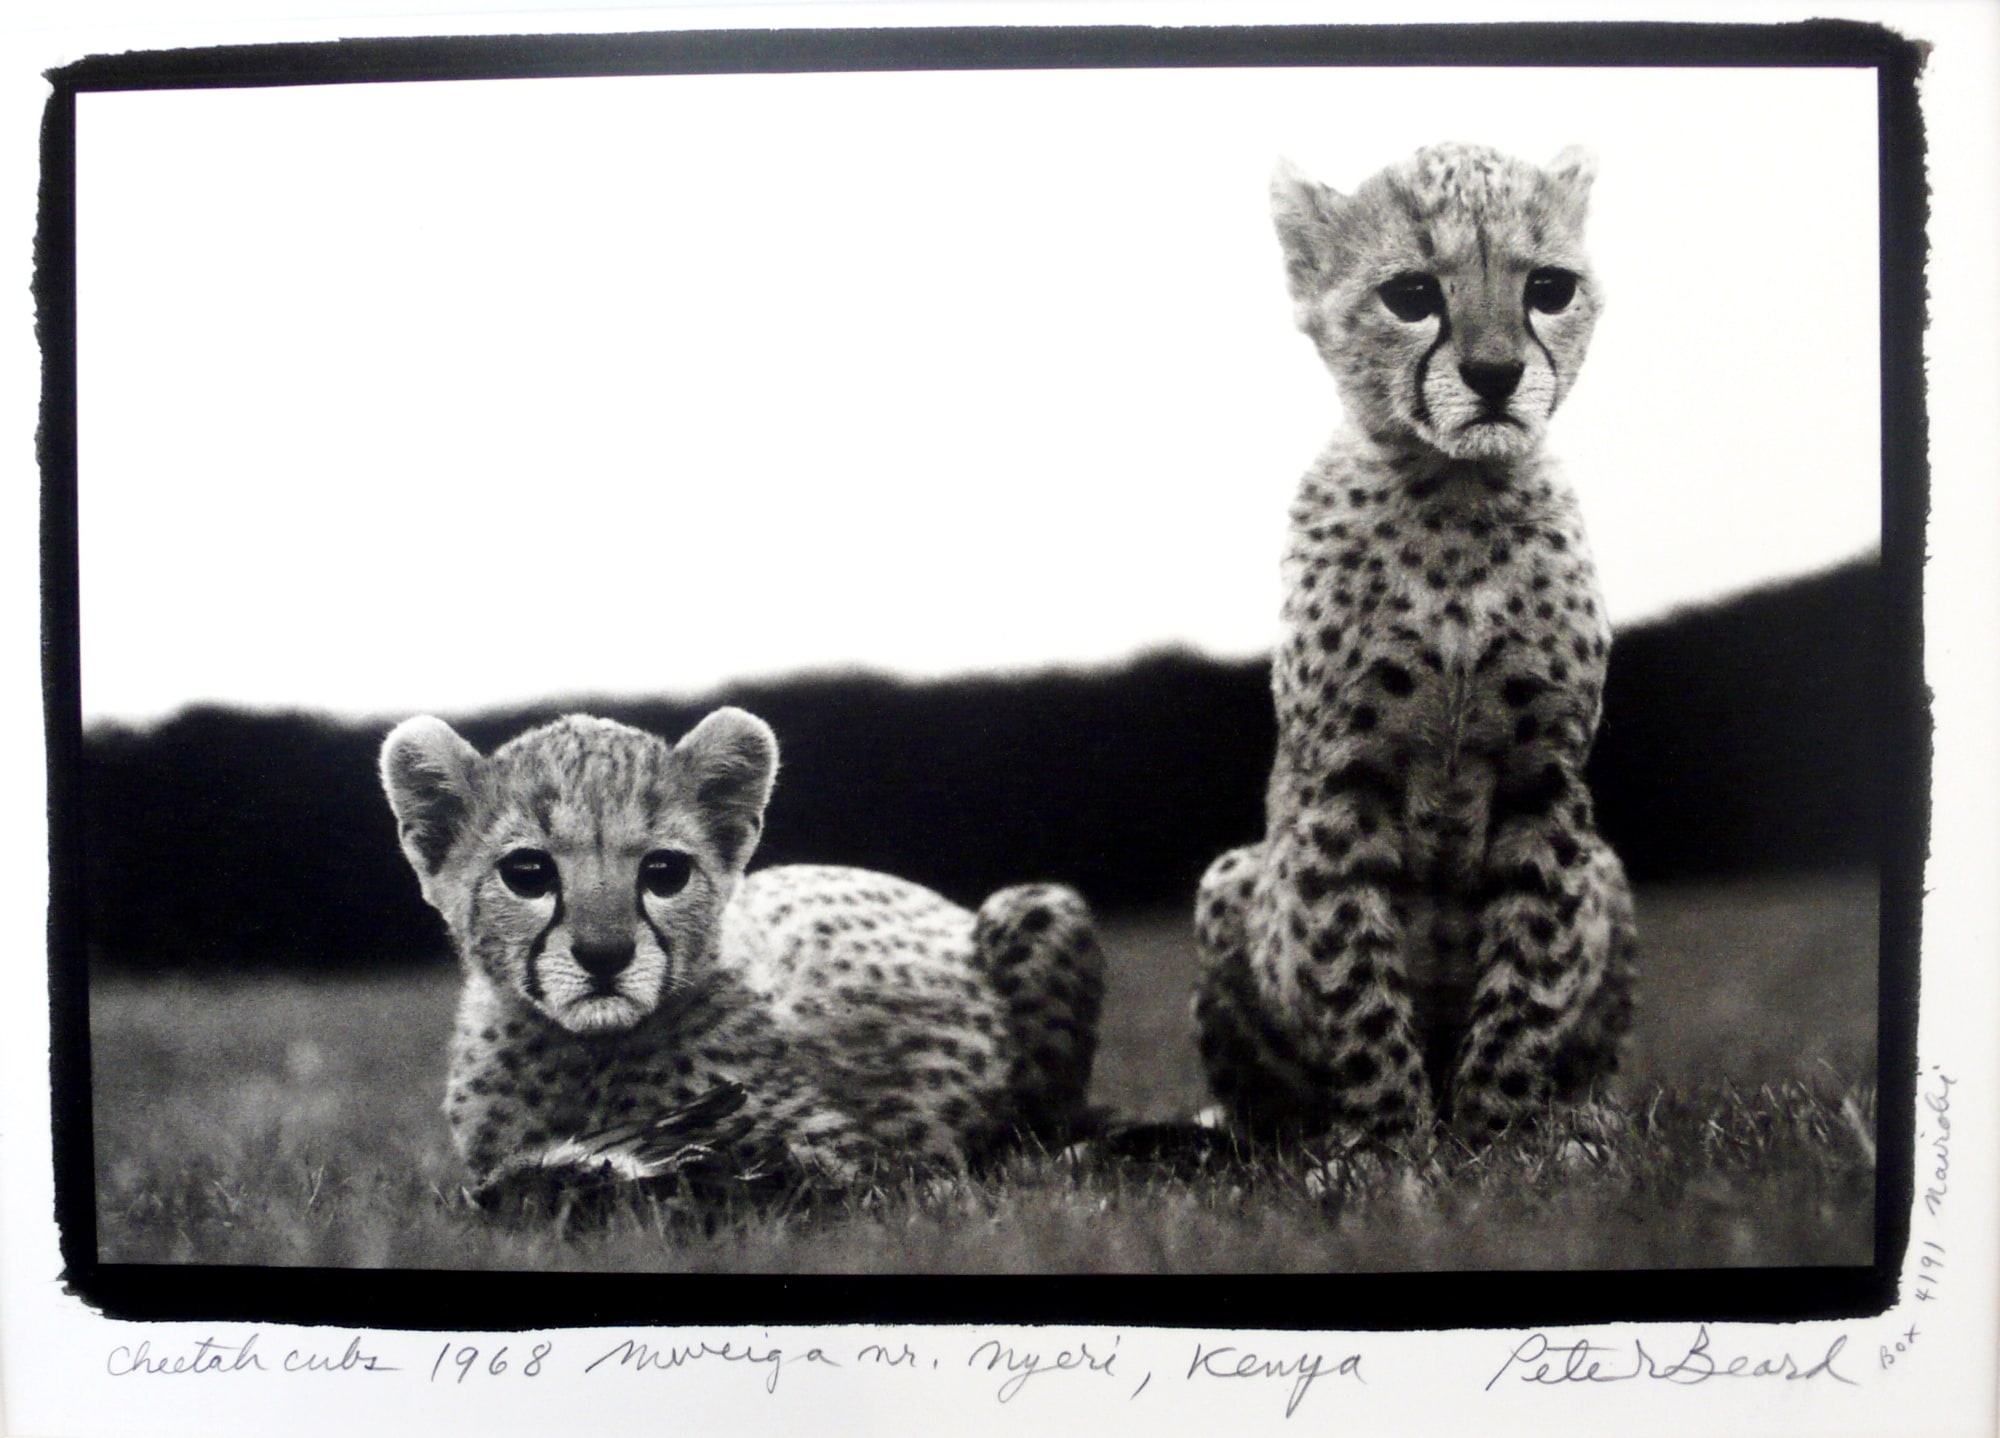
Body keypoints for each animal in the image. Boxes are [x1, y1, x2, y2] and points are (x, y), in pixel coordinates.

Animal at [379, 706, 1104, 1201]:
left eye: (665, 872)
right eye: (527, 873)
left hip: (1039, 907)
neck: (588, 1054)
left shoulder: (853, 1158)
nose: (605, 954)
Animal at [1191, 142, 1637, 1149]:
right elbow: (1352, 972)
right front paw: (1389, 1146)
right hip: (1231, 875)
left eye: (1548, 288)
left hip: (1611, 869)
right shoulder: (1339, 784)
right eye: (1410, 295)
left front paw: (1502, 1137)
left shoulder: (1548, 780)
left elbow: (1532, 967)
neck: (1455, 495)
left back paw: (1586, 1119)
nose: (1495, 373)